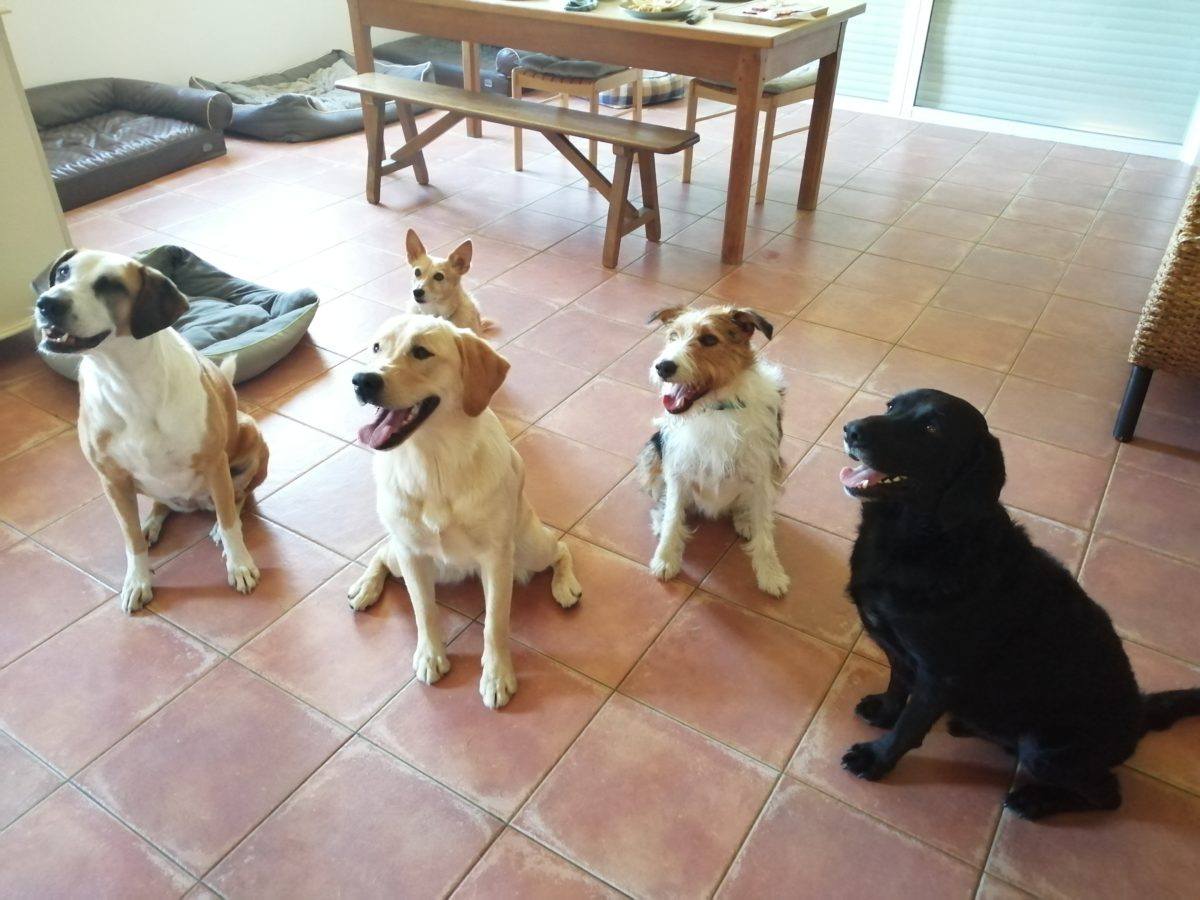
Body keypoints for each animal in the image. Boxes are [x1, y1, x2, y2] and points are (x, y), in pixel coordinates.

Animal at [33, 249, 268, 613]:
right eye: (62, 273)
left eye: (110, 285)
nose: (47, 303)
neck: (126, 380)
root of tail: (193, 503)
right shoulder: (112, 481)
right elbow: (129, 540)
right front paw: (137, 580)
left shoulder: (215, 464)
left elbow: (231, 521)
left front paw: (239, 564)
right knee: (161, 505)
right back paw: (151, 524)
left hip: (249, 437)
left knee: (237, 497)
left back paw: (217, 523)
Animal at [348, 313, 581, 708]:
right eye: (376, 347)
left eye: (421, 352)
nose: (362, 380)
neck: (433, 463)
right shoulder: (411, 555)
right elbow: (424, 611)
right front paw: (430, 655)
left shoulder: (497, 559)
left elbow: (495, 625)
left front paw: (497, 676)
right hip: (403, 556)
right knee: (381, 552)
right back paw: (366, 587)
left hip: (530, 549)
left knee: (562, 548)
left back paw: (566, 586)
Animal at [637, 305, 789, 597]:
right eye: (673, 336)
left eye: (709, 339)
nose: (663, 366)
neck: (716, 408)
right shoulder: (678, 470)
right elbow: (673, 516)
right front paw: (665, 558)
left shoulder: (762, 474)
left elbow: (765, 532)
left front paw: (771, 574)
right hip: (652, 454)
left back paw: (745, 519)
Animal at [838, 388, 1200, 819]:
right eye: (892, 406)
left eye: (932, 428)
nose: (851, 429)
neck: (927, 538)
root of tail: (1140, 714)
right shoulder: (900, 650)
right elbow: (897, 685)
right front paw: (884, 712)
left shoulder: (939, 675)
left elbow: (909, 727)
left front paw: (876, 759)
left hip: (1044, 749)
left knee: (1108, 796)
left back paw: (1035, 800)